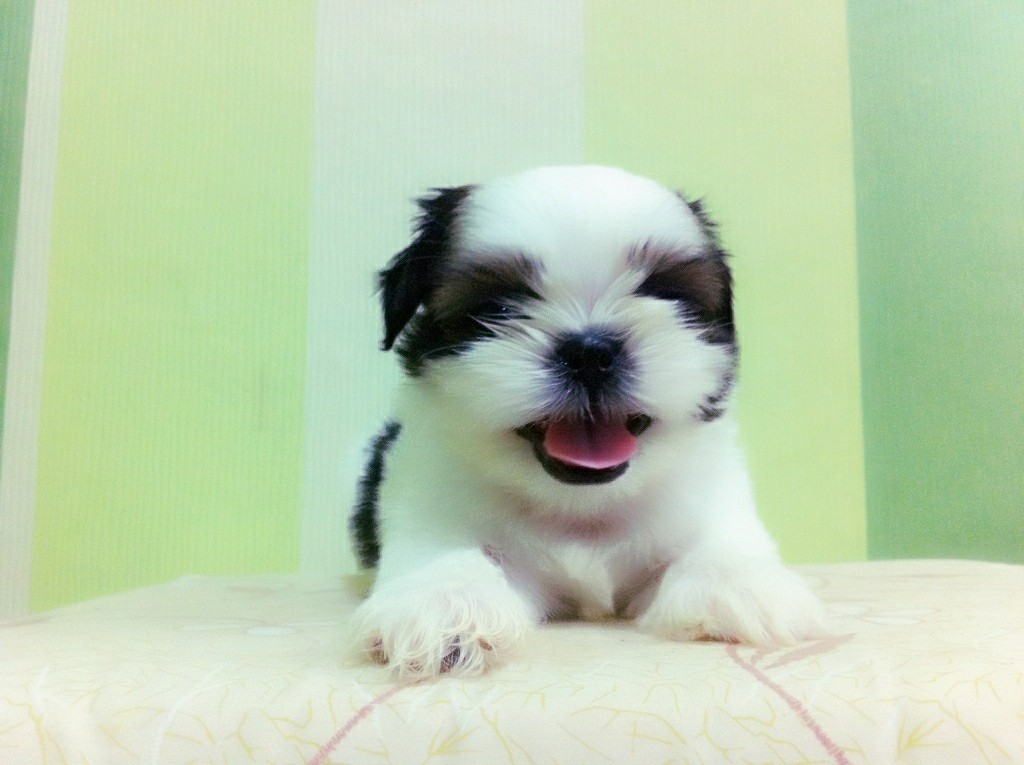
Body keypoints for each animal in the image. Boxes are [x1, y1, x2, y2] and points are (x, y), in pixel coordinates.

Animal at [350, 166, 826, 678]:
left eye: (665, 294)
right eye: (500, 307)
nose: (590, 352)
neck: (581, 507)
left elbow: (714, 544)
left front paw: (736, 582)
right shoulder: (428, 498)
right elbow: (443, 550)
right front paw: (445, 599)